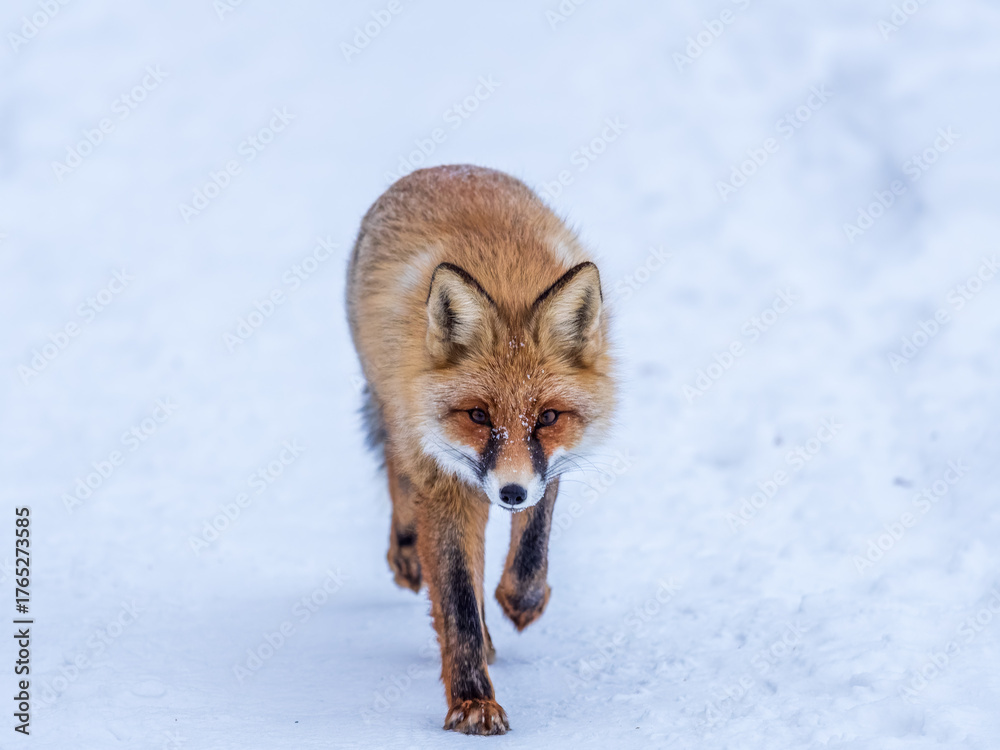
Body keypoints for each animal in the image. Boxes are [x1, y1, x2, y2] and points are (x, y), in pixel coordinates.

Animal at [346, 164, 615, 735]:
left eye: (547, 418)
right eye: (478, 416)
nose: (510, 493)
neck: (505, 275)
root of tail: (444, 169)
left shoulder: (543, 469)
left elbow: (533, 541)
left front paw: (522, 600)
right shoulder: (443, 475)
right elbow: (457, 602)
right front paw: (472, 702)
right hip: (395, 409)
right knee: (395, 468)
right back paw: (406, 550)